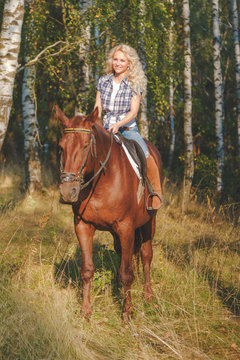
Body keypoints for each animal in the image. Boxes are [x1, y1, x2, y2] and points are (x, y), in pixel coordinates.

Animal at [55, 105, 162, 320]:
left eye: (85, 146)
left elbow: (127, 272)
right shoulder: (83, 226)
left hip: (149, 222)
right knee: (125, 255)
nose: (68, 191)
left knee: (146, 256)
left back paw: (148, 296)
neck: (102, 181)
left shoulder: (126, 227)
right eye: (61, 147)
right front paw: (86, 310)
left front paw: (128, 311)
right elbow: (87, 269)